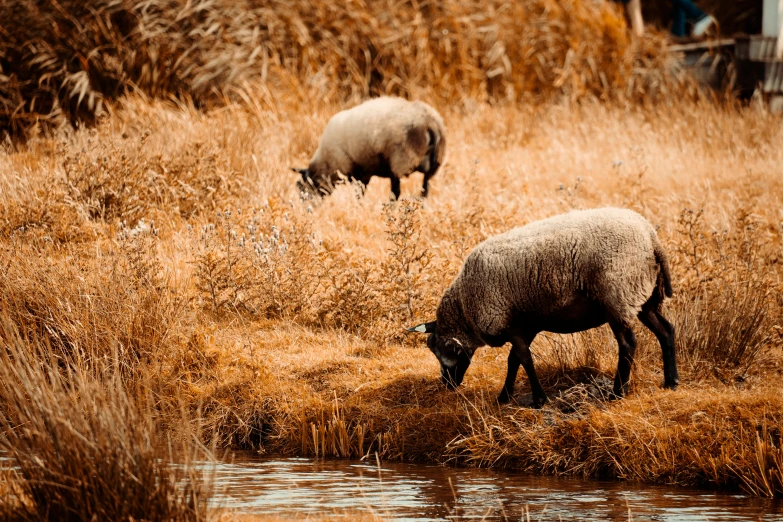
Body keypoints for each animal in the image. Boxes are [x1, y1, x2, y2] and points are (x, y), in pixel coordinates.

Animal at [290, 96, 448, 198]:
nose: (307, 211)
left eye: (303, 189)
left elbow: (359, 194)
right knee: (424, 191)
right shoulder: (365, 172)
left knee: (395, 193)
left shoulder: (361, 173)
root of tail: (430, 123)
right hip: (433, 166)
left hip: (400, 162)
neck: (327, 163)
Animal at [410, 207, 680, 406]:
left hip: (617, 296)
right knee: (666, 330)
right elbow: (513, 361)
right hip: (643, 296)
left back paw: (618, 392)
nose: (447, 385)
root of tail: (651, 237)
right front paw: (504, 397)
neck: (466, 307)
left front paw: (539, 399)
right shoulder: (525, 326)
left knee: (628, 344)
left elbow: (524, 359)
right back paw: (671, 381)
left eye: (442, 353)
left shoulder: (510, 325)